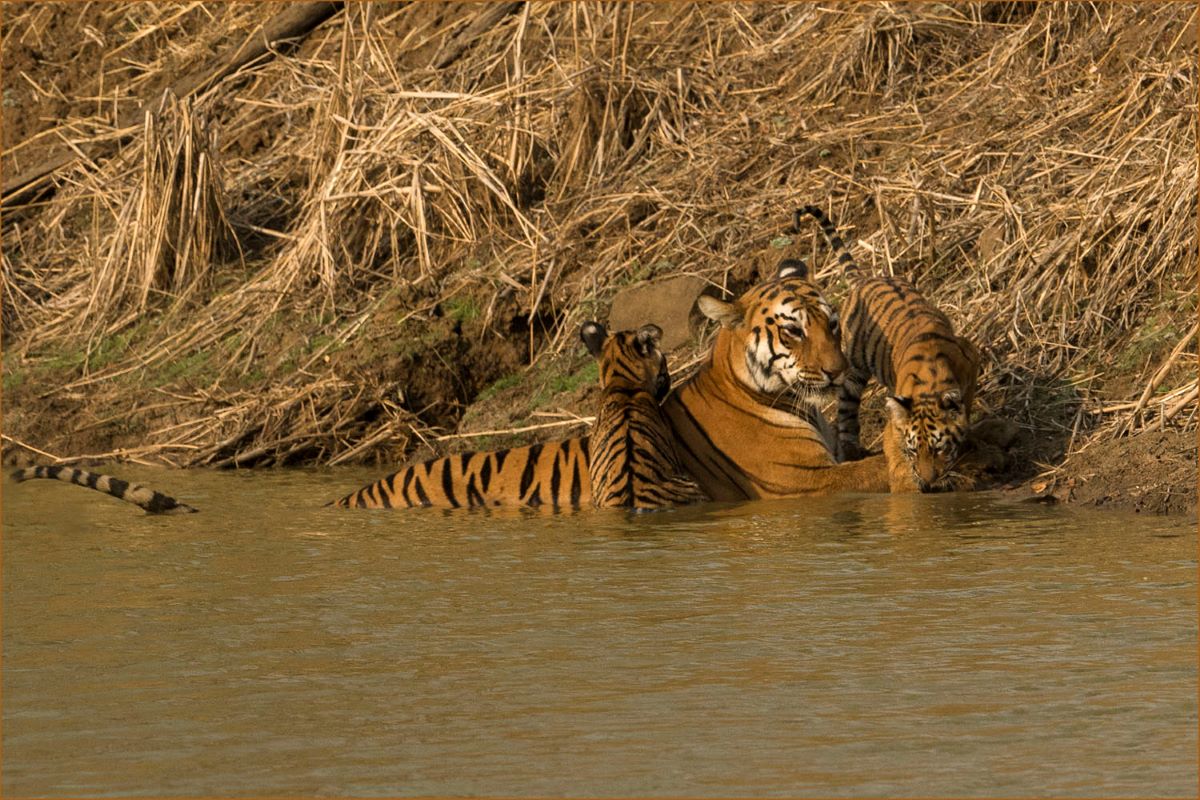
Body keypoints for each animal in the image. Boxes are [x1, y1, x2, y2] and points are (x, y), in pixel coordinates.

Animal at [796, 203, 974, 491]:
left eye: (939, 449)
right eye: (913, 451)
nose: (928, 482)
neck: (932, 378)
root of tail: (862, 280)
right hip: (853, 370)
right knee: (846, 412)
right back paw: (851, 450)